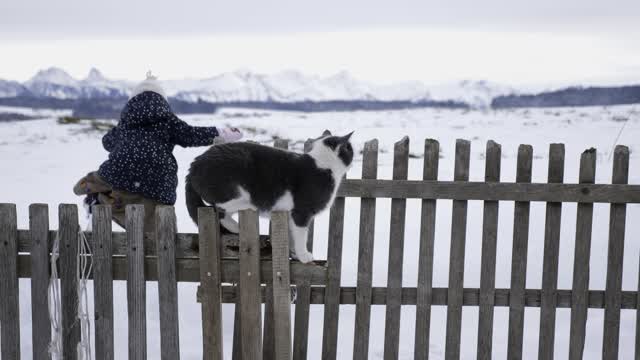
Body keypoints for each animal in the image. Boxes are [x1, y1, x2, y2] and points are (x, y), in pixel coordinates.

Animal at [185, 129, 356, 262]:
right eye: (350, 148)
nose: (353, 153)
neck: (323, 164)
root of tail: (194, 165)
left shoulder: (291, 216)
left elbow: (293, 235)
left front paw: (294, 253)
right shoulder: (301, 213)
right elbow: (301, 235)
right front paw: (304, 256)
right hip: (233, 190)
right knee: (219, 208)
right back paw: (245, 213)